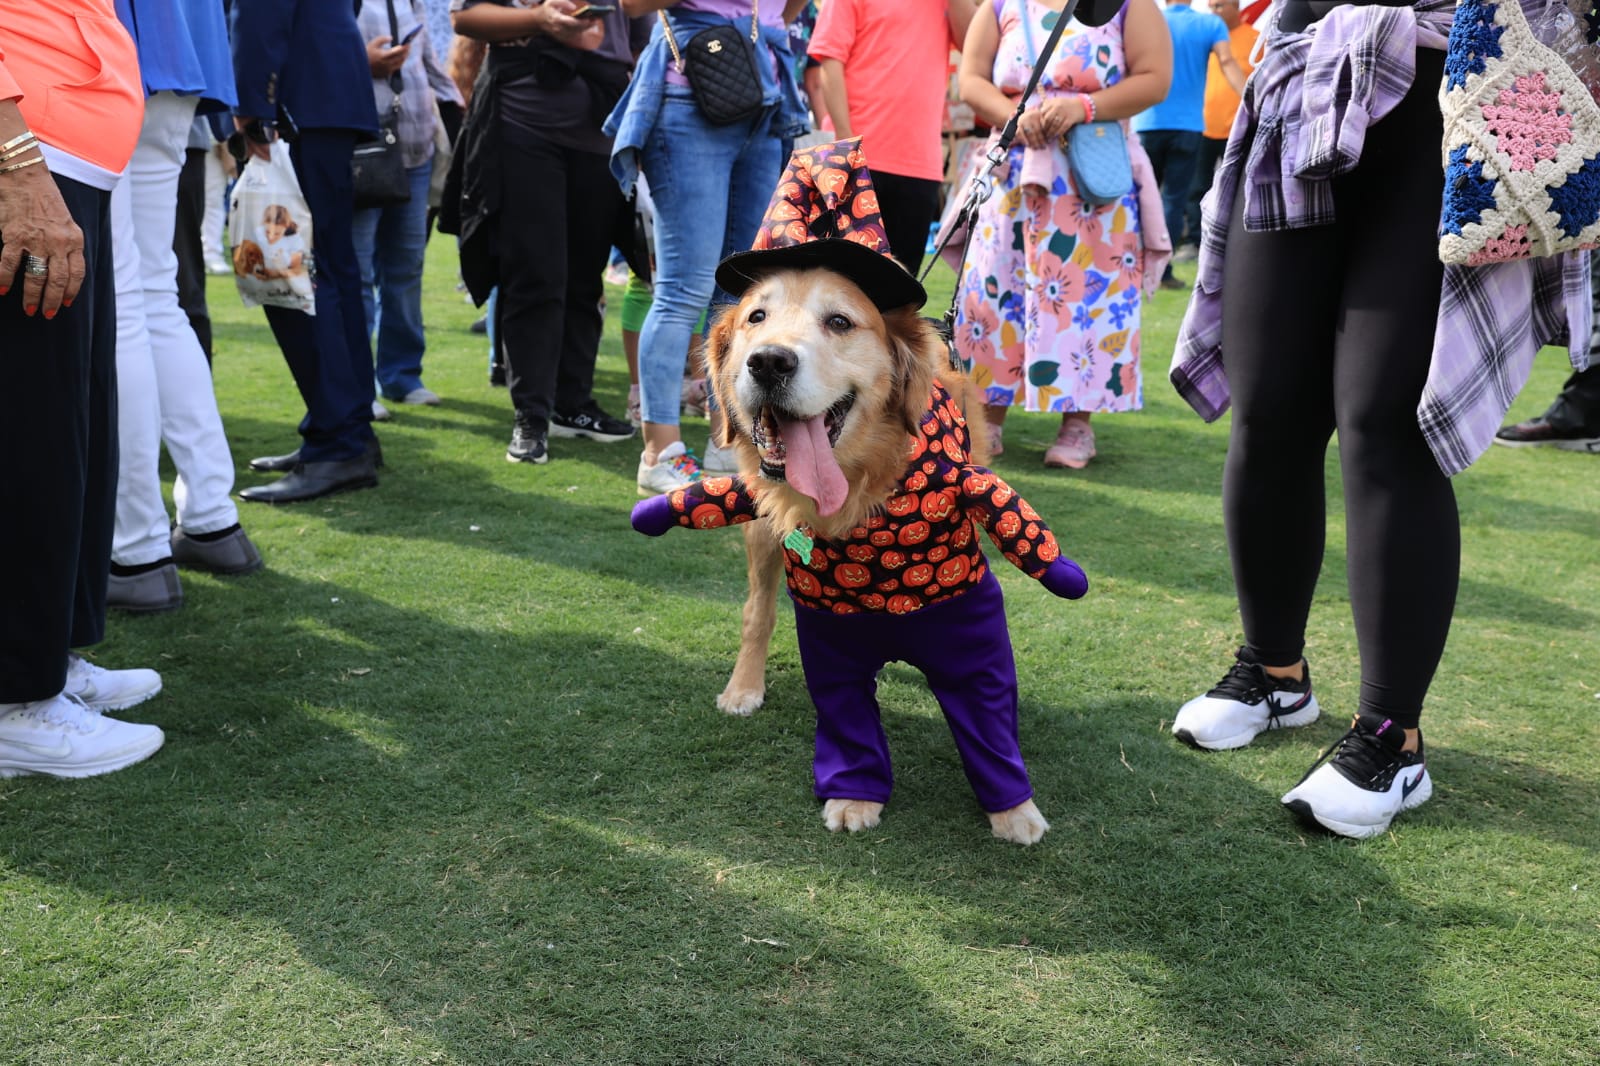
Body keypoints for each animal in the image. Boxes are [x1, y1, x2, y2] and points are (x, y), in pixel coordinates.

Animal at [624, 264, 1088, 838]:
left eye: (840, 321)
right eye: (757, 316)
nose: (769, 361)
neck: (858, 503)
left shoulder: (968, 629)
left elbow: (988, 723)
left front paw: (1014, 812)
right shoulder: (830, 634)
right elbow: (847, 723)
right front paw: (854, 798)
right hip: (761, 533)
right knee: (757, 612)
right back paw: (743, 687)